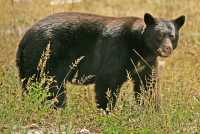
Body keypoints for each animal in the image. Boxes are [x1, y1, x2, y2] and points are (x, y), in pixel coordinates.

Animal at [16, 12, 185, 111]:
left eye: (172, 36)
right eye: (159, 35)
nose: (167, 49)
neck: (141, 47)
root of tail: (24, 39)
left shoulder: (146, 63)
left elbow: (146, 85)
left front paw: (150, 109)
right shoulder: (117, 49)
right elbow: (108, 81)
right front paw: (106, 110)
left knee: (32, 85)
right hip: (46, 56)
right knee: (52, 87)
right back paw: (57, 108)